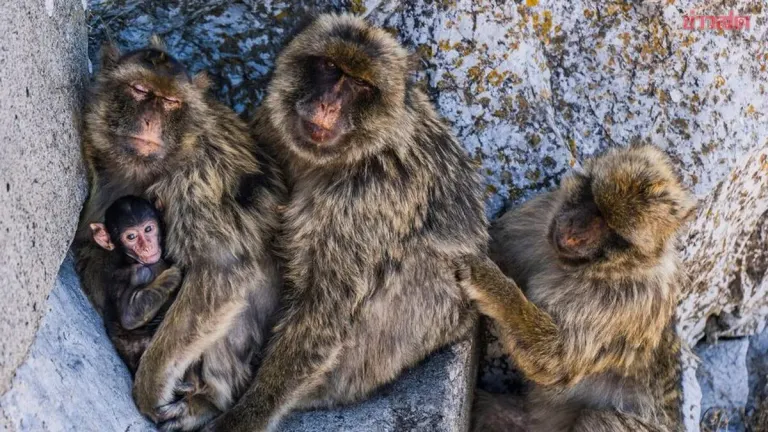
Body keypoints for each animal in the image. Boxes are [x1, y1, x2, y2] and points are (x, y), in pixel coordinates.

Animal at [74, 36, 285, 431]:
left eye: (171, 103)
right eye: (140, 90)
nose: (151, 120)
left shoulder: (195, 179)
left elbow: (222, 269)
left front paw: (149, 388)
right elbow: (89, 247)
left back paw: (207, 401)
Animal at [202, 14, 488, 432]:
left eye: (360, 85)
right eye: (329, 68)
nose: (327, 104)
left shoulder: (367, 200)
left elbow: (325, 310)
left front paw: (248, 415)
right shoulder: (269, 127)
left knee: (419, 262)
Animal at [455, 145, 695, 432]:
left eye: (613, 230)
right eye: (593, 200)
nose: (573, 232)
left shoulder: (620, 301)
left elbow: (556, 360)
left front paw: (494, 289)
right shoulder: (536, 219)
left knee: (597, 417)